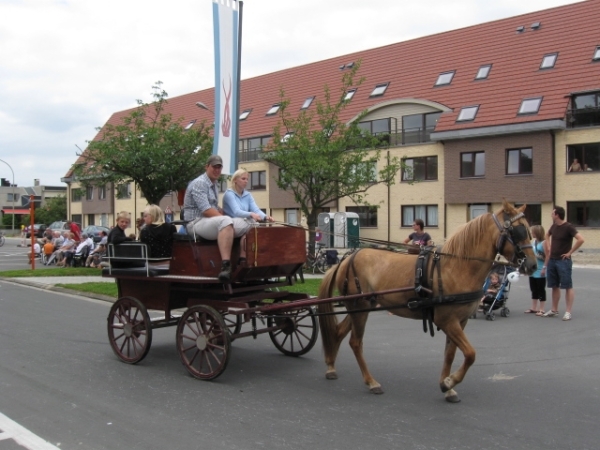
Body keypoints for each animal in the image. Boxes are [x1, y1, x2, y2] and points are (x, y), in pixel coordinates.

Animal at [316, 201, 536, 404]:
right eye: (518, 230)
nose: (533, 264)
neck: (457, 266)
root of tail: (345, 259)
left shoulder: (460, 321)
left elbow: (450, 354)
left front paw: (447, 387)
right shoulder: (447, 320)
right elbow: (470, 354)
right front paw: (449, 382)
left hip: (361, 308)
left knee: (339, 332)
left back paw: (330, 367)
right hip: (359, 308)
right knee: (355, 342)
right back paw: (371, 382)